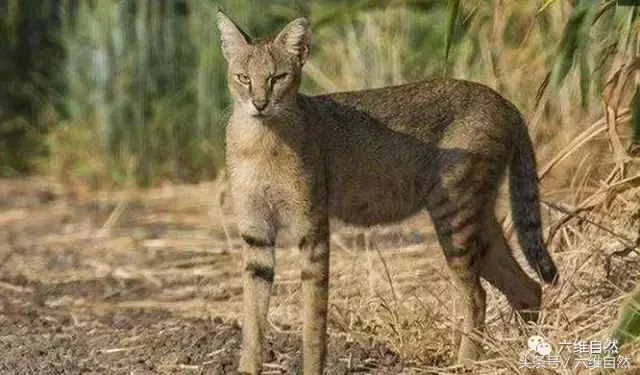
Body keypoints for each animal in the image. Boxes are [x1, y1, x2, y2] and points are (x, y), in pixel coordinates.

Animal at [215, 9, 556, 375]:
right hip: (477, 220)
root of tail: (504, 100)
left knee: (479, 295)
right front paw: (247, 368)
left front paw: (311, 366)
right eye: (243, 78)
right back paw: (528, 355)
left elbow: (313, 319)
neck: (260, 140)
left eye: (278, 77)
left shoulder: (312, 230)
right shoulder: (256, 234)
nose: (260, 103)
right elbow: (253, 318)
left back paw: (467, 364)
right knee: (528, 288)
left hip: (453, 214)